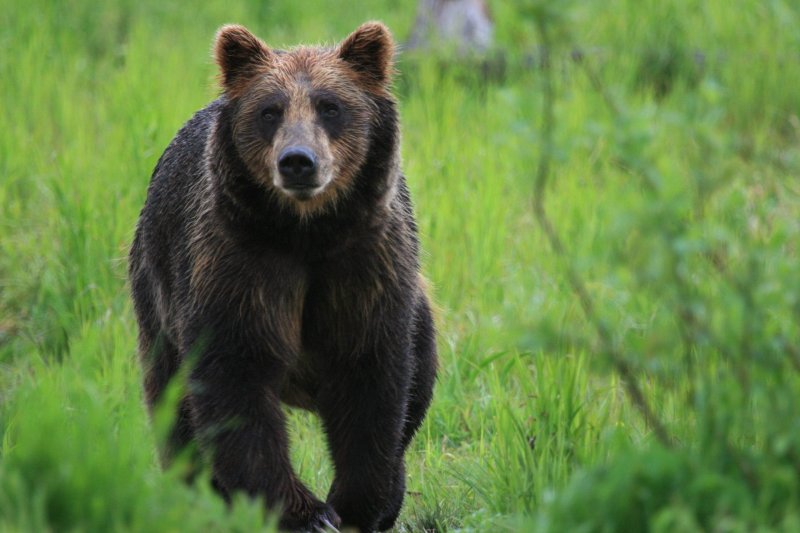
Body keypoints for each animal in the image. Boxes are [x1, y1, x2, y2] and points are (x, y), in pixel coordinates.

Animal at [128, 21, 438, 532]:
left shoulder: (366, 266)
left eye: (330, 107)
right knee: (173, 401)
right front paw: (305, 512)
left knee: (421, 372)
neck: (306, 233)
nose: (297, 160)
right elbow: (234, 381)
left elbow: (373, 380)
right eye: (270, 111)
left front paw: (358, 505)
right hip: (155, 291)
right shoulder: (239, 266)